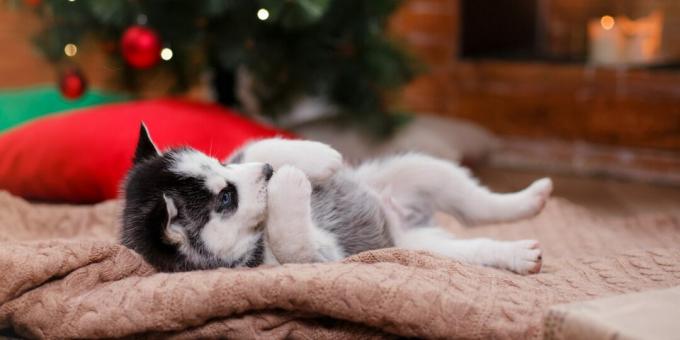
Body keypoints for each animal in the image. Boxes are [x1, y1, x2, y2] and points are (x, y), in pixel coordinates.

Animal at [122, 125, 552, 274]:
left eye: (218, 163)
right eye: (225, 199)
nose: (268, 173)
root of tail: (404, 221)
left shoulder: (244, 154)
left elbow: (258, 144)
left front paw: (316, 156)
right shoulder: (318, 255)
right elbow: (293, 242)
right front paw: (289, 182)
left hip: (420, 170)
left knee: (478, 204)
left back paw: (531, 196)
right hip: (426, 247)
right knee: (477, 241)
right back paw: (518, 253)